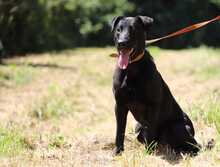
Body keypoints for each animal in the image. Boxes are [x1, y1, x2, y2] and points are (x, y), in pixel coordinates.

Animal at [111, 15, 200, 155]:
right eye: (118, 30)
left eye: (133, 29)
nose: (122, 43)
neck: (131, 68)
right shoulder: (119, 105)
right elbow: (119, 130)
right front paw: (118, 151)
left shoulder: (152, 105)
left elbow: (150, 129)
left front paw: (149, 152)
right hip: (138, 126)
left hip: (176, 127)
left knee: (194, 146)